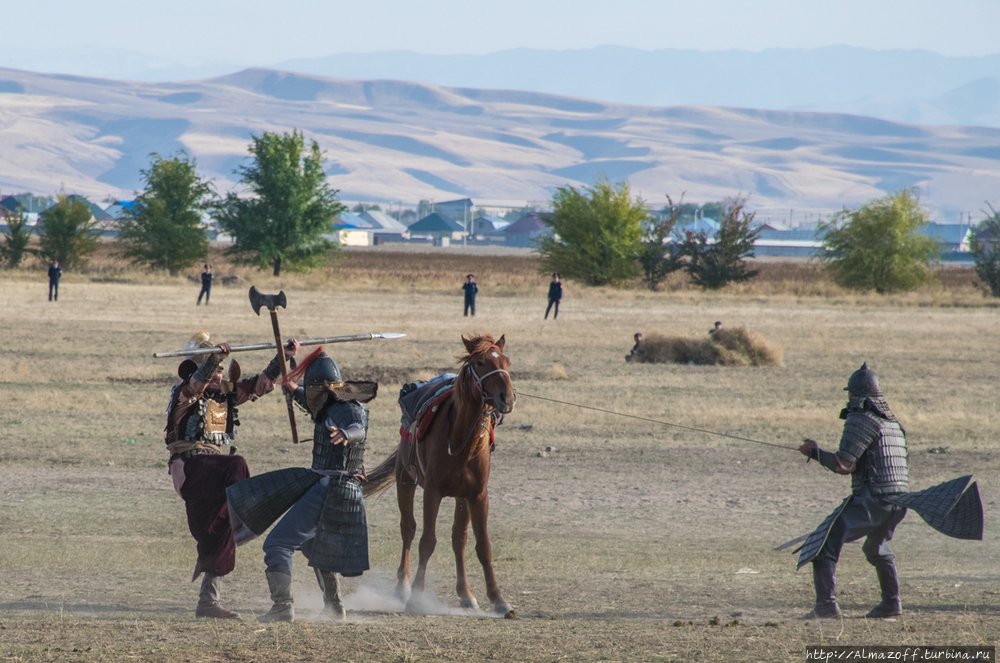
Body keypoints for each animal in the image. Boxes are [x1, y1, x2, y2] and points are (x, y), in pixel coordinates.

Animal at [366, 334, 516, 616]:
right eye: (479, 363)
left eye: (507, 361)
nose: (507, 398)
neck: (461, 441)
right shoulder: (432, 493)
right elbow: (427, 541)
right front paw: (415, 596)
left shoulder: (477, 495)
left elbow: (482, 546)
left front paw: (499, 599)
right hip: (405, 480)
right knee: (408, 529)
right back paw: (402, 587)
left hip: (460, 498)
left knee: (458, 539)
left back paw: (466, 595)